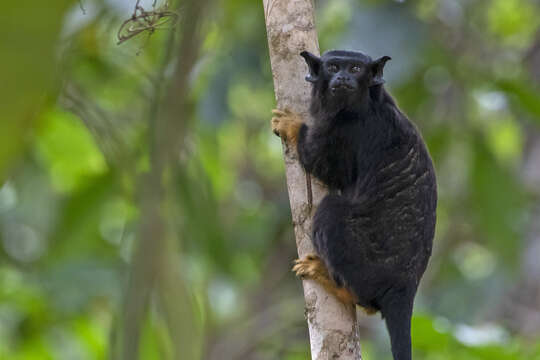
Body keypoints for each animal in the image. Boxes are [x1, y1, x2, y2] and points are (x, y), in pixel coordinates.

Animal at [272, 50, 436, 360]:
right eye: (333, 66)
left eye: (356, 69)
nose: (343, 78)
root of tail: (406, 285)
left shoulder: (346, 130)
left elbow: (320, 165)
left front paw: (293, 126)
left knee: (331, 211)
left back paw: (337, 285)